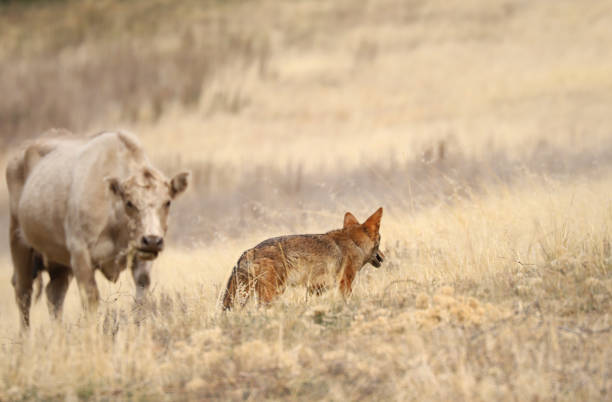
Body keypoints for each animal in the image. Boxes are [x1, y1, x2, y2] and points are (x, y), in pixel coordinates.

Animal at [6, 130, 189, 328]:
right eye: (129, 202)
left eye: (167, 202)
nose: (153, 240)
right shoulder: (81, 255)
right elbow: (91, 298)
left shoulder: (141, 258)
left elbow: (141, 295)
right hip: (19, 243)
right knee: (23, 293)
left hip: (59, 262)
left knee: (54, 295)